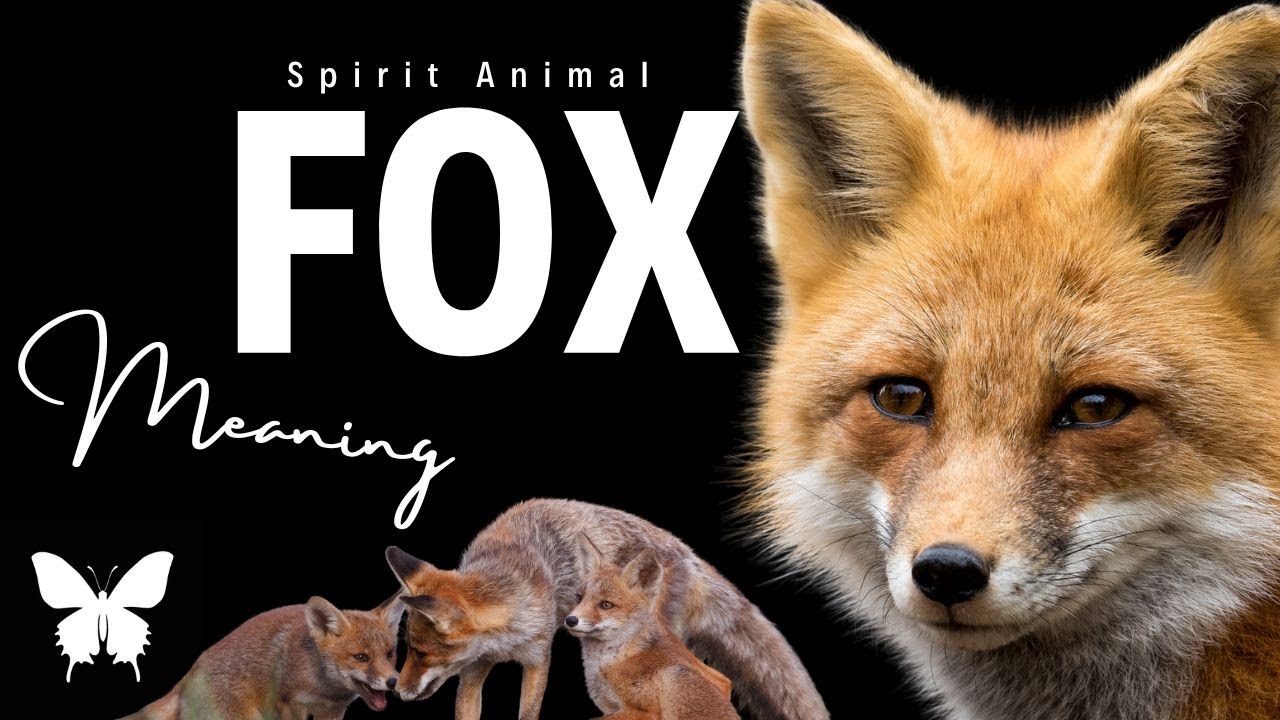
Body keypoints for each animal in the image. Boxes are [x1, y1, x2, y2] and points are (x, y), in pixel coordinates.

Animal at [120, 595, 404, 720]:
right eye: (361, 657)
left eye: (390, 654)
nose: (393, 682)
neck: (324, 688)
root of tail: (187, 676)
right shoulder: (289, 705)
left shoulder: (333, 711)